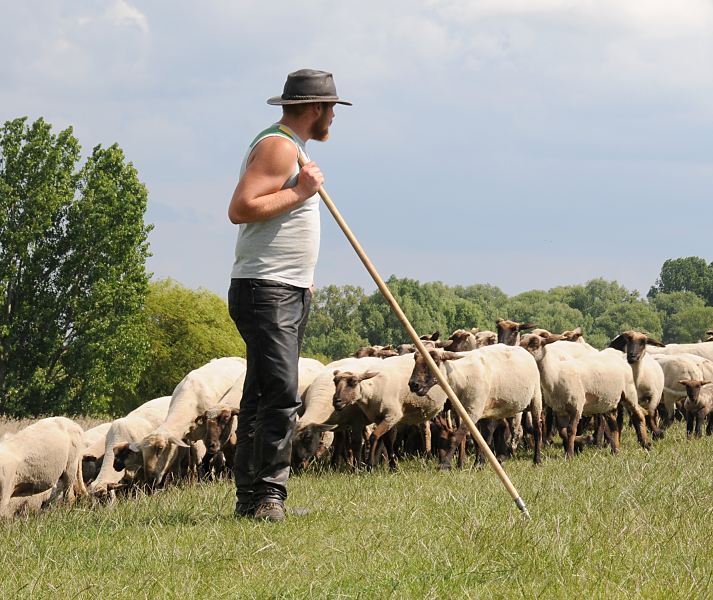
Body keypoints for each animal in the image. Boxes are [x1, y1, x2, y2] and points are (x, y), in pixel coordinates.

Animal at [520, 336, 648, 458]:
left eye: (534, 343)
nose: (520, 352)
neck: (555, 375)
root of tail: (620, 357)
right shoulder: (560, 410)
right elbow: (563, 432)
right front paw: (585, 439)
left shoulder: (577, 405)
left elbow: (571, 430)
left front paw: (570, 455)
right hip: (608, 402)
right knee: (614, 425)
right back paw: (615, 450)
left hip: (629, 392)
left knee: (639, 414)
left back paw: (646, 444)